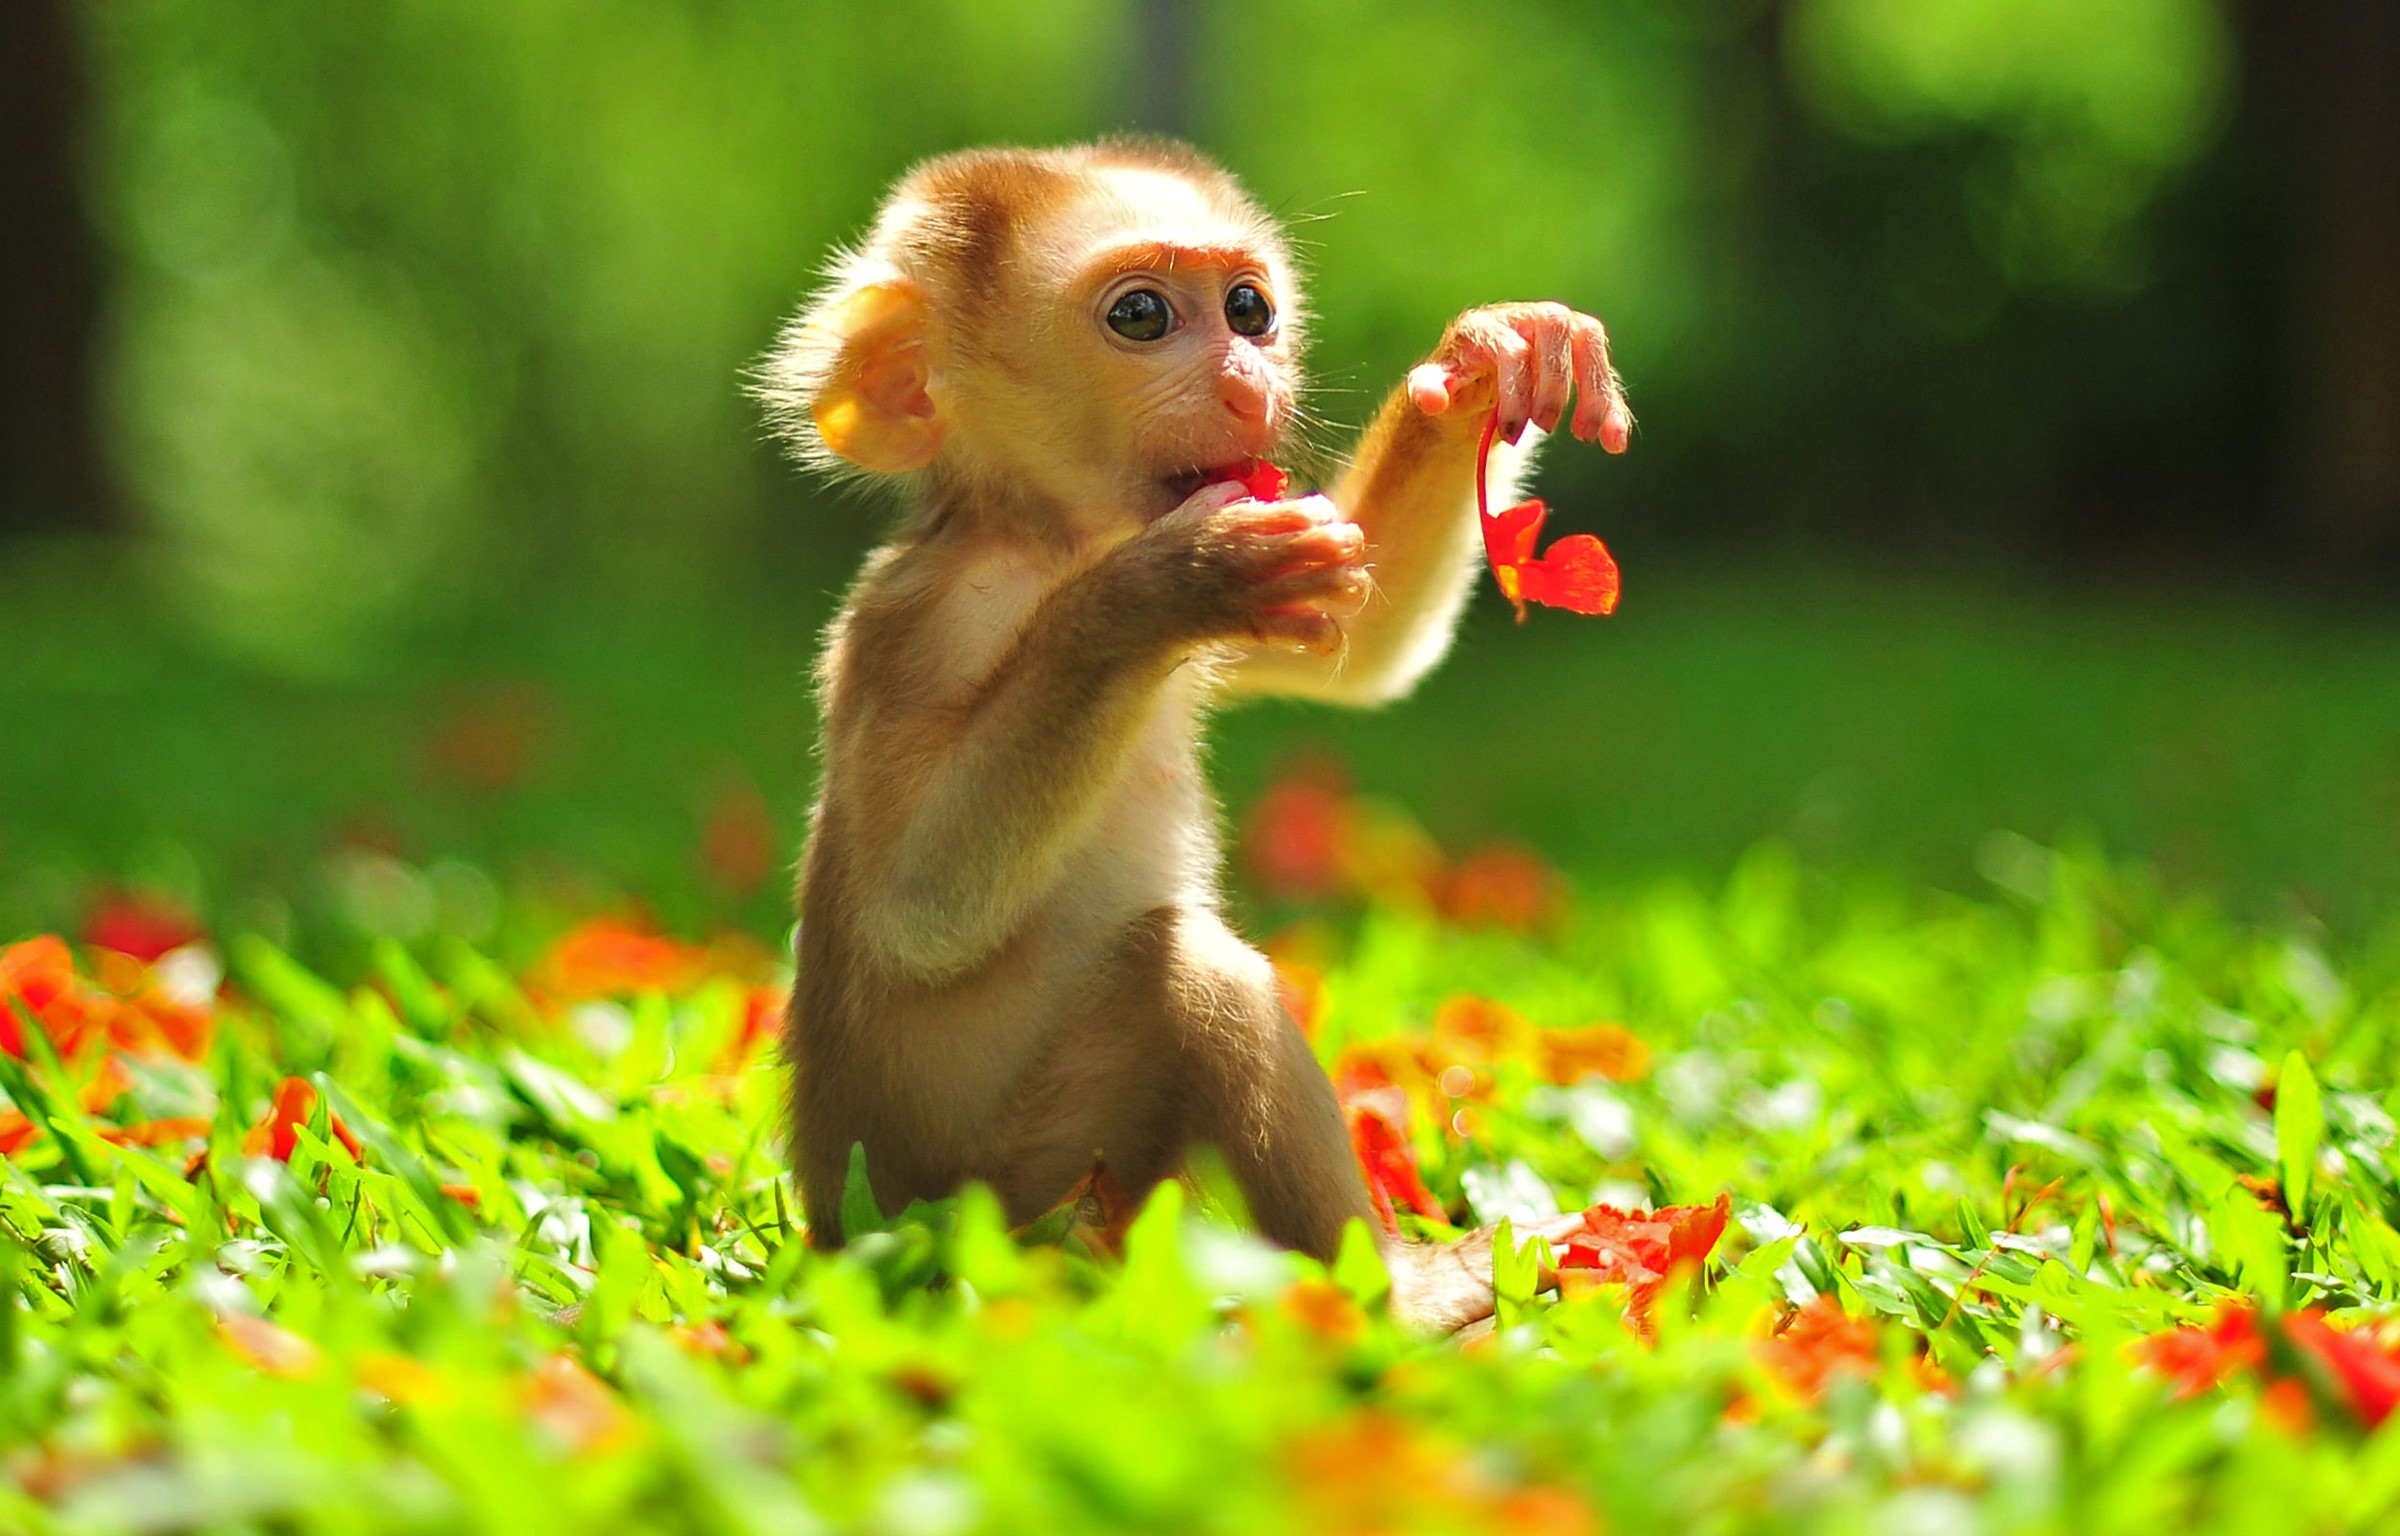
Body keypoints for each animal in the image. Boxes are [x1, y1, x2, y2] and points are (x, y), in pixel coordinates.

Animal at [756, 140, 1630, 1332]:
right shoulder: (931, 621)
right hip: (1015, 1196)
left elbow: (1365, 648)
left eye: (1250, 309)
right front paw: (1169, 584)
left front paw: (1486, 364)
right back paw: (1401, 1294)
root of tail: (846, 1229)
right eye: (1141, 315)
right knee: (1192, 982)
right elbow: (920, 909)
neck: (1052, 539)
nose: (1247, 381)